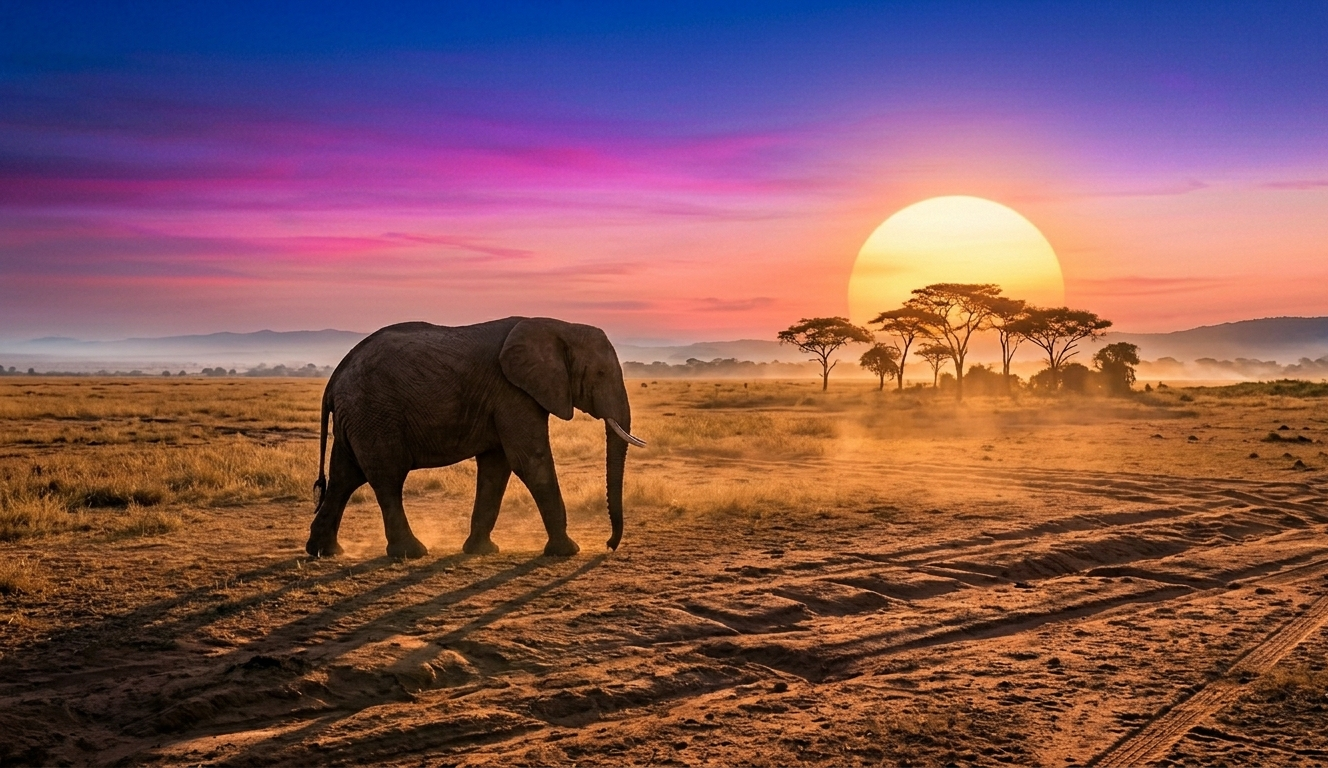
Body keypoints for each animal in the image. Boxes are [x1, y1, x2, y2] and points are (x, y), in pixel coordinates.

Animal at [304, 317, 645, 560]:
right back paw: (411, 553)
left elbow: (497, 468)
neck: (559, 326)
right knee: (386, 479)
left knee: (344, 478)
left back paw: (325, 552)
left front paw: (481, 551)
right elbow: (530, 461)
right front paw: (567, 551)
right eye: (600, 374)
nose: (609, 544)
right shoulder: (513, 392)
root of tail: (334, 378)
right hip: (374, 415)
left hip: (359, 418)